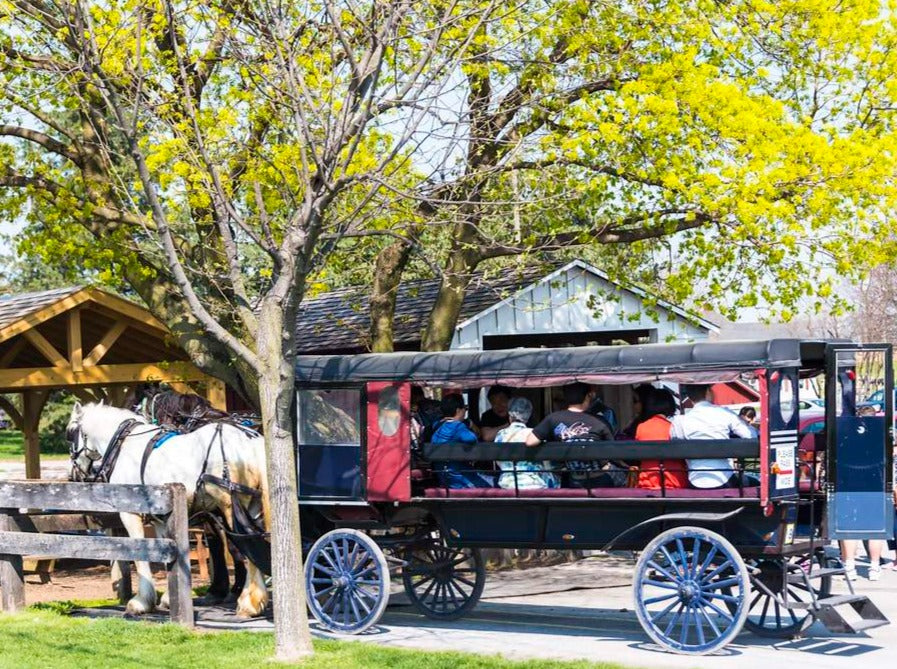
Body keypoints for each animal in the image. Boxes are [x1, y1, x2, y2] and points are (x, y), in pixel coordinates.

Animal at [67, 402, 270, 616]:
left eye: (70, 433)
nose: (73, 474)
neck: (124, 445)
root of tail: (250, 440)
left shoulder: (130, 513)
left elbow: (141, 552)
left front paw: (141, 601)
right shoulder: (161, 517)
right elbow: (166, 552)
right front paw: (168, 598)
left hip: (232, 506)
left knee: (248, 545)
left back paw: (249, 603)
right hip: (253, 508)